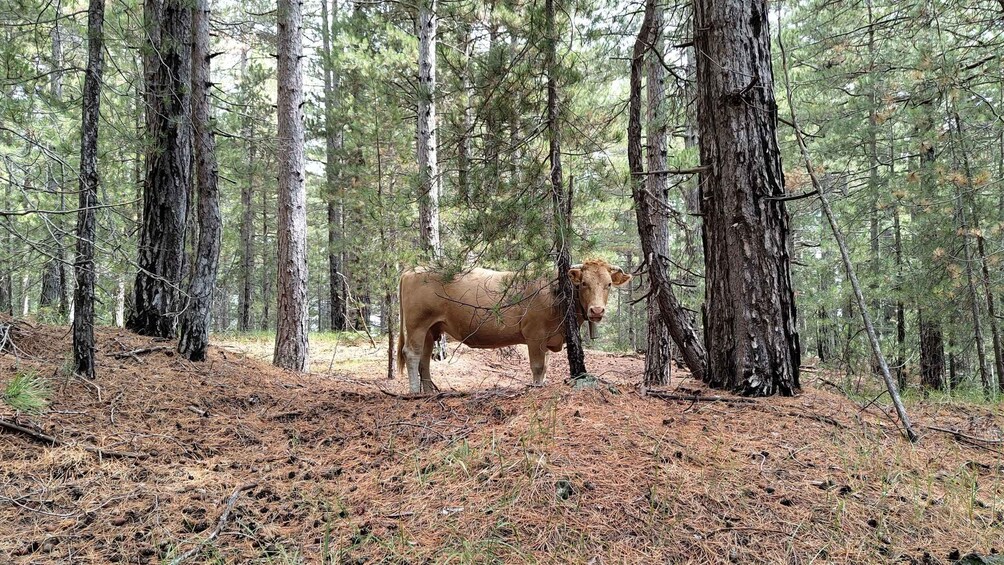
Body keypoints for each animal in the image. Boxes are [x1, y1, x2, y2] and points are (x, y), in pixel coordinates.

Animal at [395, 258, 630, 393]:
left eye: (609, 284)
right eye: (583, 283)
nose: (597, 311)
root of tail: (412, 270)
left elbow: (545, 367)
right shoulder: (535, 335)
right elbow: (538, 367)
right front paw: (536, 389)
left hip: (430, 328)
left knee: (425, 358)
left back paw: (428, 391)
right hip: (417, 324)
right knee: (412, 354)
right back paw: (414, 391)